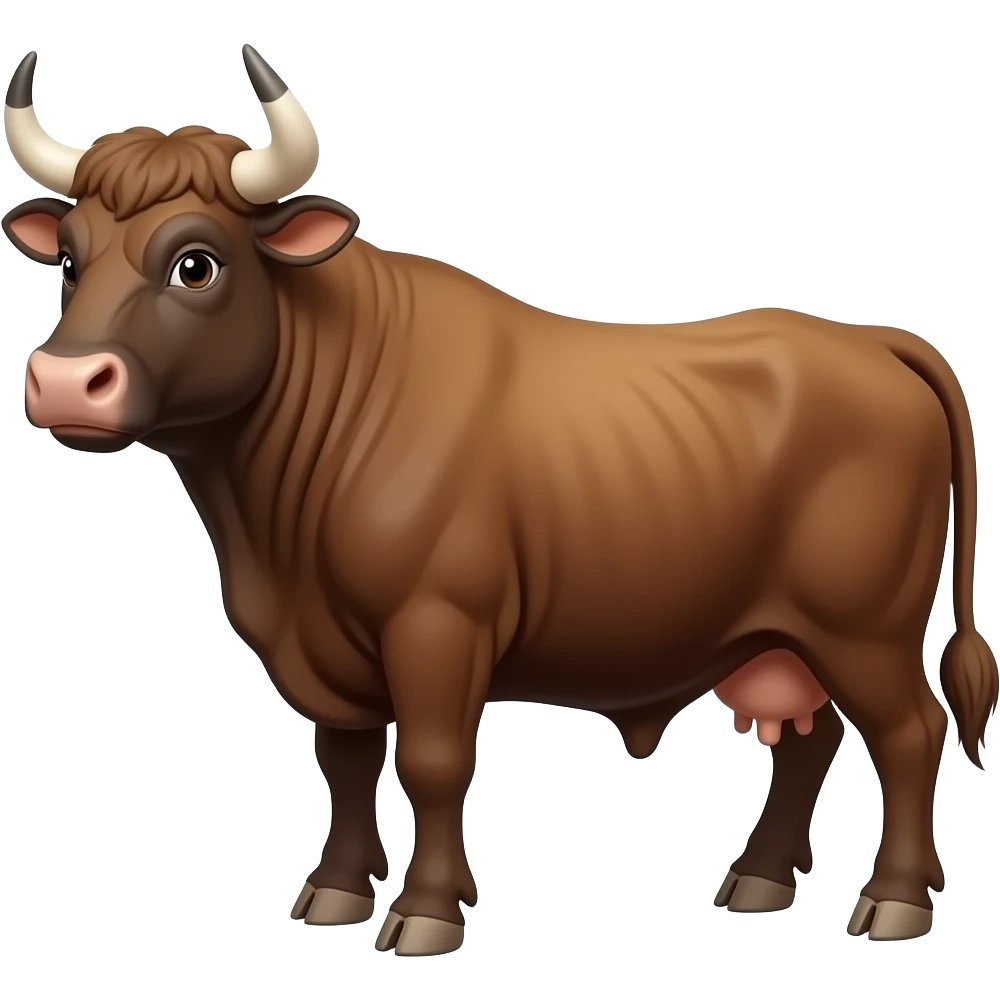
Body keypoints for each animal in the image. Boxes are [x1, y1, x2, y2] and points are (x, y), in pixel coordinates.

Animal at [5, 45, 997, 956]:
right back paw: (756, 881)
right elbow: (346, 760)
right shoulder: (323, 646)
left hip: (864, 626)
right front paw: (335, 892)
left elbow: (434, 763)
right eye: (72, 261)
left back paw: (894, 903)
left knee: (910, 733)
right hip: (784, 635)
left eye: (196, 265)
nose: (63, 383)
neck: (272, 541)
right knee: (810, 738)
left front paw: (427, 913)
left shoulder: (437, 624)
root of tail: (873, 342)